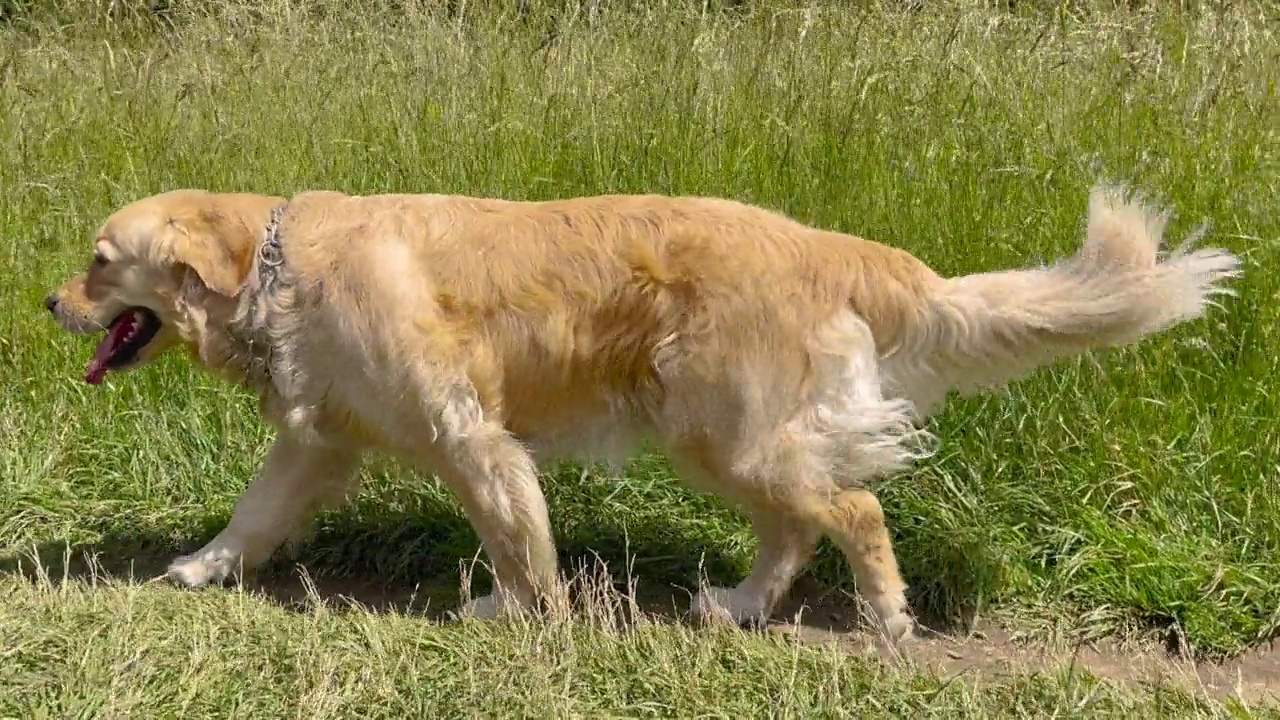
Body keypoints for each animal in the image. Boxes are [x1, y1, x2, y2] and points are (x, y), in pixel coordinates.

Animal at [47, 183, 1239, 638]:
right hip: (721, 442)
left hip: (730, 436)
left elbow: (514, 535)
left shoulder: (466, 433)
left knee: (851, 513)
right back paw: (742, 606)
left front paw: (520, 612)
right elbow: (252, 517)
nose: (49, 303)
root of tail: (826, 247)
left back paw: (886, 618)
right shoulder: (317, 438)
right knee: (794, 531)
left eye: (100, 262)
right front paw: (198, 569)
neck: (275, 266)